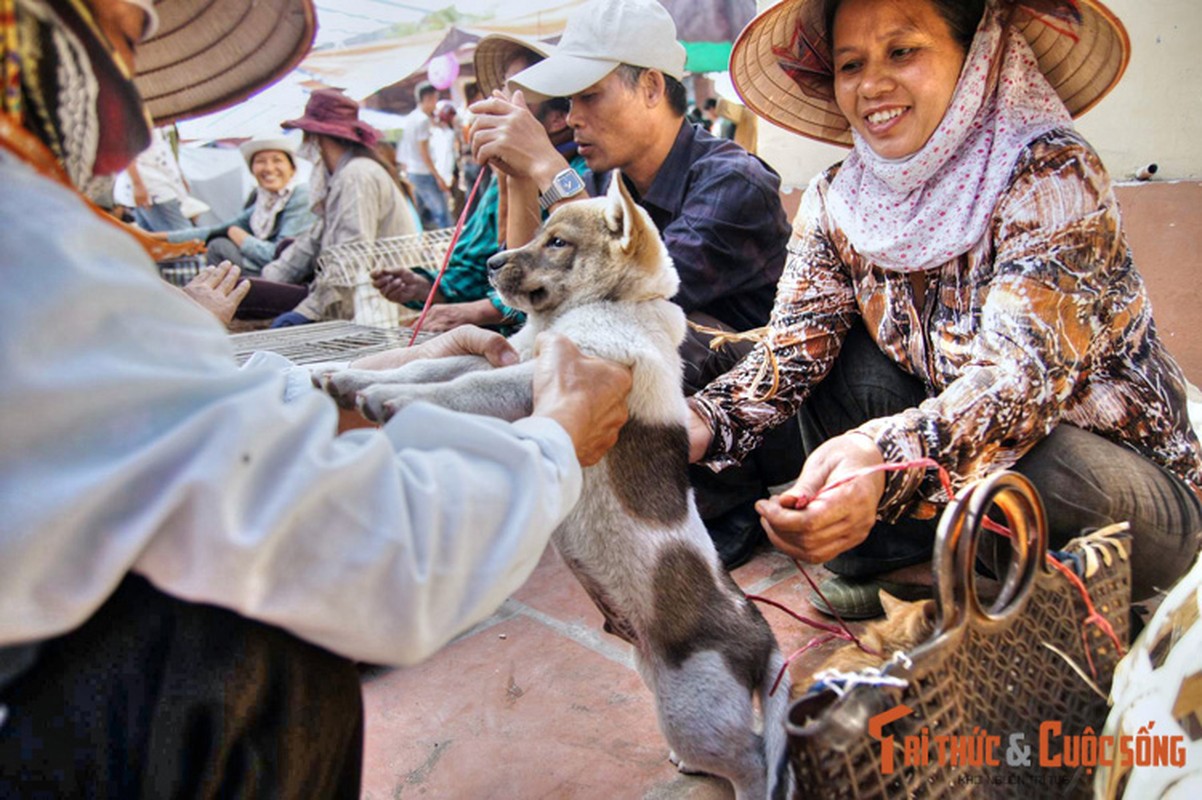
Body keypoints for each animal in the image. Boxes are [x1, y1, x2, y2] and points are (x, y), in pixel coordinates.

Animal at [324, 174, 793, 797]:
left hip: (694, 709)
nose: (491, 262)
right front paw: (350, 378)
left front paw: (390, 399)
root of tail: (760, 635)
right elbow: (428, 367)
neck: (607, 307)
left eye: (557, 243)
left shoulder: (532, 377)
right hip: (663, 684)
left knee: (753, 758)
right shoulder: (501, 356)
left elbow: (456, 391)